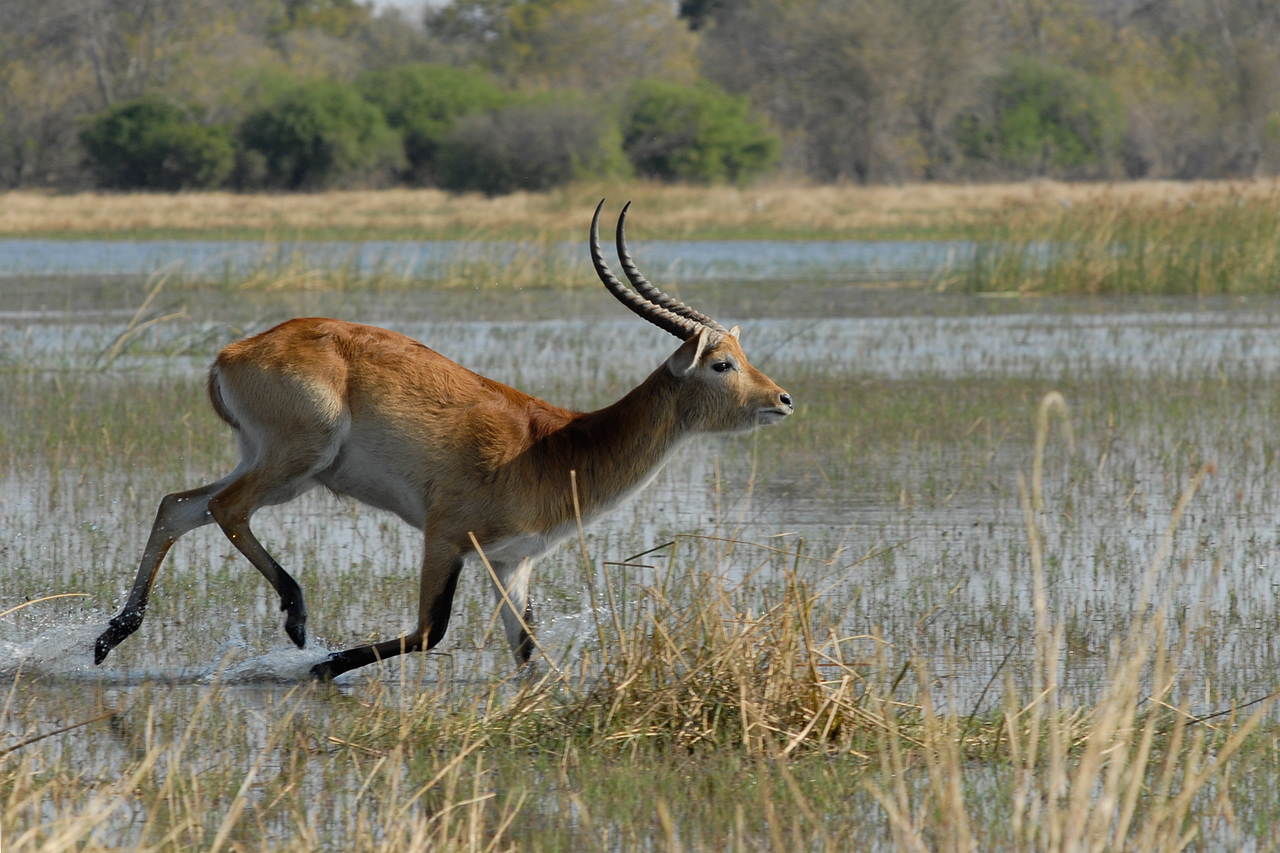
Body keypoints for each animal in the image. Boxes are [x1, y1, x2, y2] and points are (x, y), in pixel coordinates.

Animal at [94, 201, 788, 676]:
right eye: (721, 363)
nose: (782, 399)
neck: (558, 445)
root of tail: (231, 353)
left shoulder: (513, 562)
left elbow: (528, 651)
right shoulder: (446, 534)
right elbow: (432, 629)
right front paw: (323, 666)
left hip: (272, 464)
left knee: (179, 505)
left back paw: (111, 637)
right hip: (298, 463)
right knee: (223, 507)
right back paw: (296, 620)